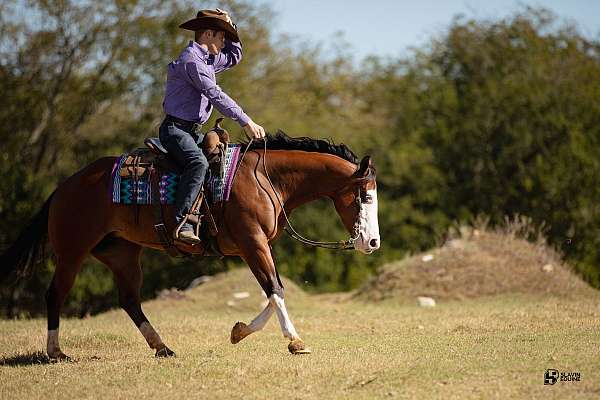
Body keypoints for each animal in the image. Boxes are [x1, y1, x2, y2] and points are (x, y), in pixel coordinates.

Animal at [1, 132, 380, 360]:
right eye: (364, 196)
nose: (372, 242)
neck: (263, 178)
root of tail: (65, 186)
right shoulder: (252, 243)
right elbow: (275, 290)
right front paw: (295, 340)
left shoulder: (255, 246)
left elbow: (275, 292)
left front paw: (239, 332)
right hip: (71, 253)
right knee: (56, 294)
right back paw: (55, 351)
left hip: (123, 255)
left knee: (129, 300)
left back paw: (162, 347)